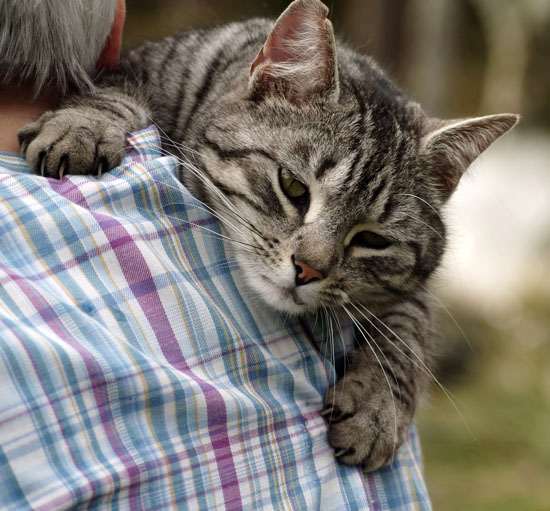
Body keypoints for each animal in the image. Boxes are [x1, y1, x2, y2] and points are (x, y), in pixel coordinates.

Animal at [17, 0, 516, 472]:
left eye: (373, 240)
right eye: (293, 187)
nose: (308, 269)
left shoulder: (416, 290)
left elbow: (407, 330)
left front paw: (378, 408)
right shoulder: (136, 68)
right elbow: (113, 93)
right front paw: (82, 127)